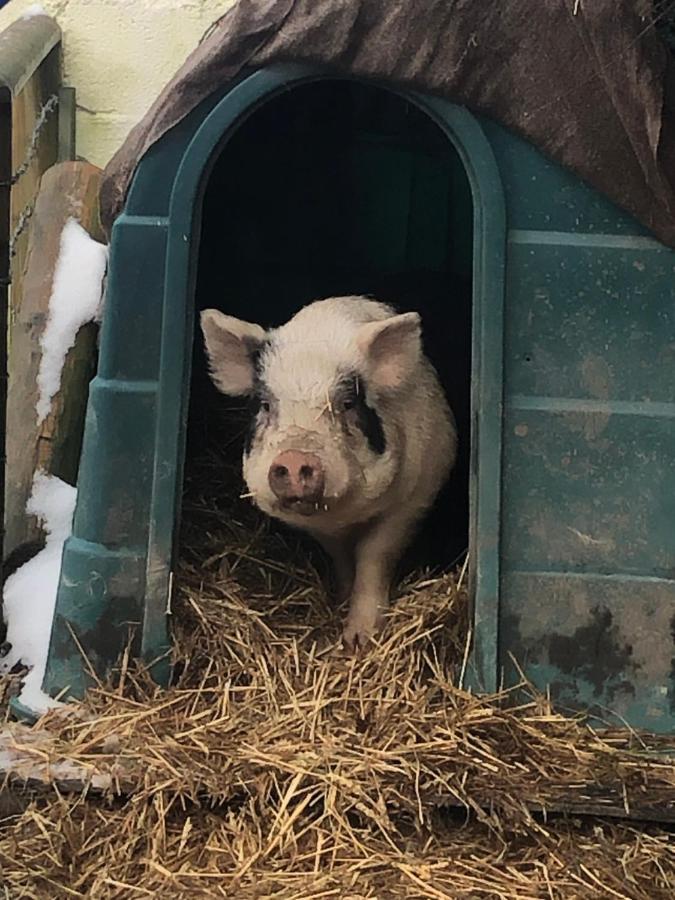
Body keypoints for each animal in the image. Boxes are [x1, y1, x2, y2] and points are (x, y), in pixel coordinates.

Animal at [198, 298, 456, 652]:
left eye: (347, 403)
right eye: (264, 404)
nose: (294, 458)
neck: (343, 517)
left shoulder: (415, 496)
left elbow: (374, 554)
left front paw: (359, 641)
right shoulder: (321, 529)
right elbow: (341, 557)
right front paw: (342, 601)